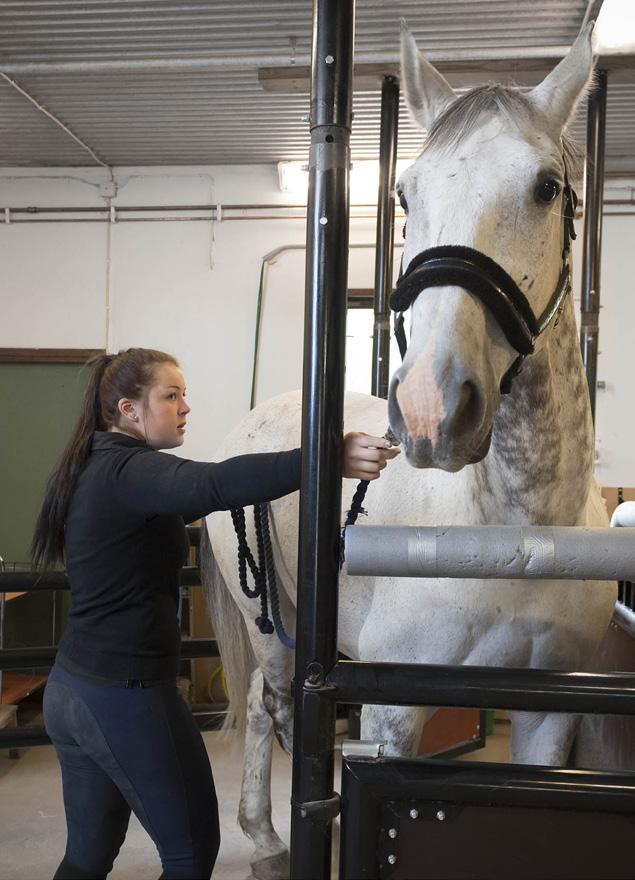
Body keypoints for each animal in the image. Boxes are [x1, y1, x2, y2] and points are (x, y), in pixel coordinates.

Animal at [202, 22, 616, 880]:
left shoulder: (547, 714)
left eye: (544, 188)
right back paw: (265, 837)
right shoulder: (393, 715)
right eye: (403, 196)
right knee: (262, 703)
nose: (430, 408)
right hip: (269, 626)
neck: (510, 538)